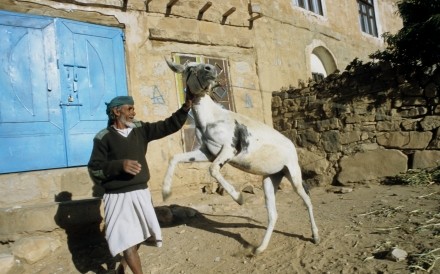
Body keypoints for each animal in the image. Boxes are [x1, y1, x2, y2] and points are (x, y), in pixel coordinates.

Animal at [163, 58, 318, 254]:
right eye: (189, 68)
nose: (210, 69)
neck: (211, 118)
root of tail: (290, 144)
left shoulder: (229, 150)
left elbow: (213, 170)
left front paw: (239, 198)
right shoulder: (206, 152)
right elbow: (175, 158)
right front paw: (165, 193)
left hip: (293, 174)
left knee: (307, 201)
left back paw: (316, 236)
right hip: (271, 178)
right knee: (273, 214)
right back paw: (259, 249)